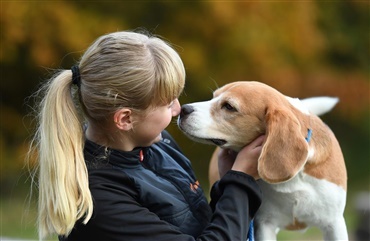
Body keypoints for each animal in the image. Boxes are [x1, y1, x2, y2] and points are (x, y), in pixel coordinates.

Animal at [178, 81, 348, 241]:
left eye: (229, 107)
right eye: (213, 97)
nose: (183, 109)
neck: (296, 177)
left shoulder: (334, 224)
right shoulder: (265, 224)